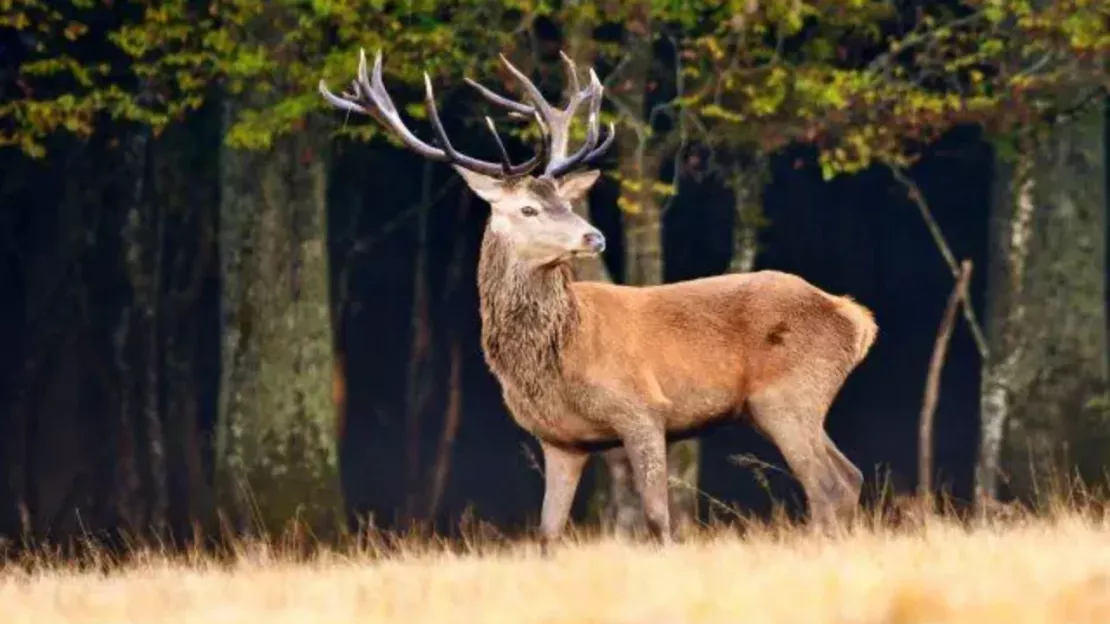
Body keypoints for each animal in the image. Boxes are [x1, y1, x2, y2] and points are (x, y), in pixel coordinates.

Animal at [319, 49, 874, 544]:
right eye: (528, 209)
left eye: (566, 202)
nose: (595, 237)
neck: (559, 355)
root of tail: (856, 317)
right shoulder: (560, 439)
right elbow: (548, 532)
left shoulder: (643, 408)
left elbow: (658, 519)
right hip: (785, 404)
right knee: (850, 477)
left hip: (789, 394)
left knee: (826, 485)